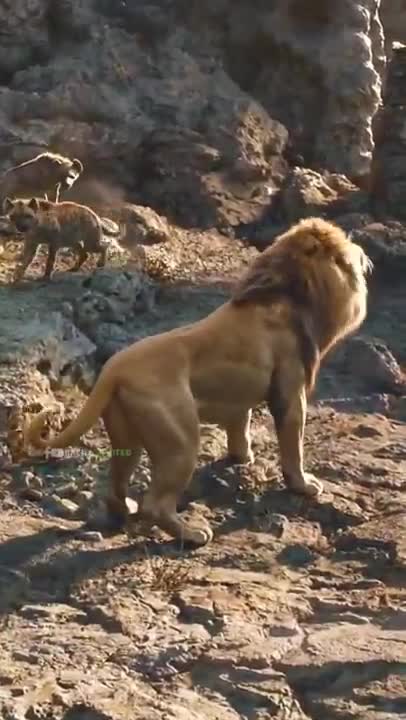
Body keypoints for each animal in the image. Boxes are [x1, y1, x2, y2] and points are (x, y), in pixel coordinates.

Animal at [24, 217, 373, 546]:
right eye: (344, 250)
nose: (363, 253)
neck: (291, 289)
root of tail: (112, 369)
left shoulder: (242, 395)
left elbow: (240, 424)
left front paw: (242, 458)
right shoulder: (290, 388)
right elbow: (293, 444)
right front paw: (304, 486)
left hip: (126, 437)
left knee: (117, 487)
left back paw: (124, 514)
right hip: (181, 440)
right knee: (156, 504)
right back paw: (192, 534)